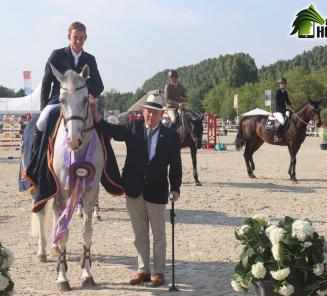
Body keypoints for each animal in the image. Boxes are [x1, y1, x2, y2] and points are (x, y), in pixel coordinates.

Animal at [35, 65, 104, 292]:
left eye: (85, 99)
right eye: (62, 99)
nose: (74, 141)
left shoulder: (90, 192)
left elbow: (87, 232)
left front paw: (87, 274)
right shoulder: (62, 193)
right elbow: (64, 232)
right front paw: (62, 277)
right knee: (42, 214)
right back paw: (43, 251)